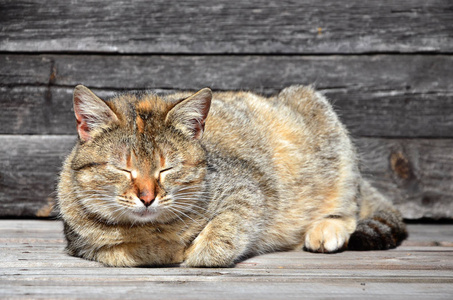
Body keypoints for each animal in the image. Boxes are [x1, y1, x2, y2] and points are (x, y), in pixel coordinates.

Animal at [56, 84, 406, 268]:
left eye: (167, 168)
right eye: (122, 168)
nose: (147, 196)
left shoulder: (250, 188)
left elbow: (225, 229)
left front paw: (198, 250)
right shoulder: (83, 243)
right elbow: (122, 251)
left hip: (331, 138)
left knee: (349, 208)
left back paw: (327, 227)